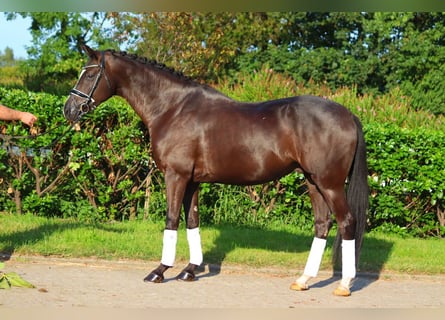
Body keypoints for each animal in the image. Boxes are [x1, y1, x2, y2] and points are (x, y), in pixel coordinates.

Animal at [63, 44, 368, 296]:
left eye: (89, 75)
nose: (69, 109)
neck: (172, 108)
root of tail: (348, 114)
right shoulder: (192, 181)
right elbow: (192, 220)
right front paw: (189, 270)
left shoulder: (175, 176)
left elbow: (172, 219)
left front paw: (160, 271)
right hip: (313, 182)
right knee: (322, 224)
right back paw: (303, 280)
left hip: (329, 183)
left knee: (346, 222)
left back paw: (343, 284)